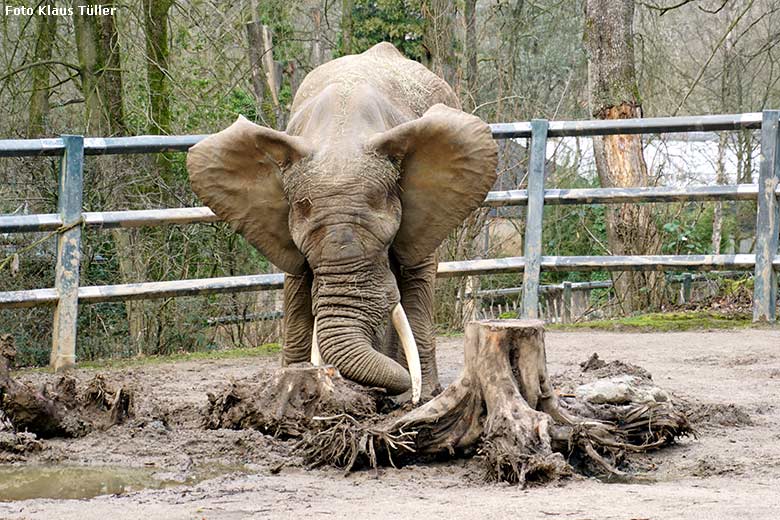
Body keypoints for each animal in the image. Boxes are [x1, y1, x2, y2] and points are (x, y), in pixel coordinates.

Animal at [186, 43, 496, 402]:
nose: (398, 392)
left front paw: (418, 395)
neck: (341, 134)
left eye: (384, 222)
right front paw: (292, 378)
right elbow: (297, 286)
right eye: (301, 211)